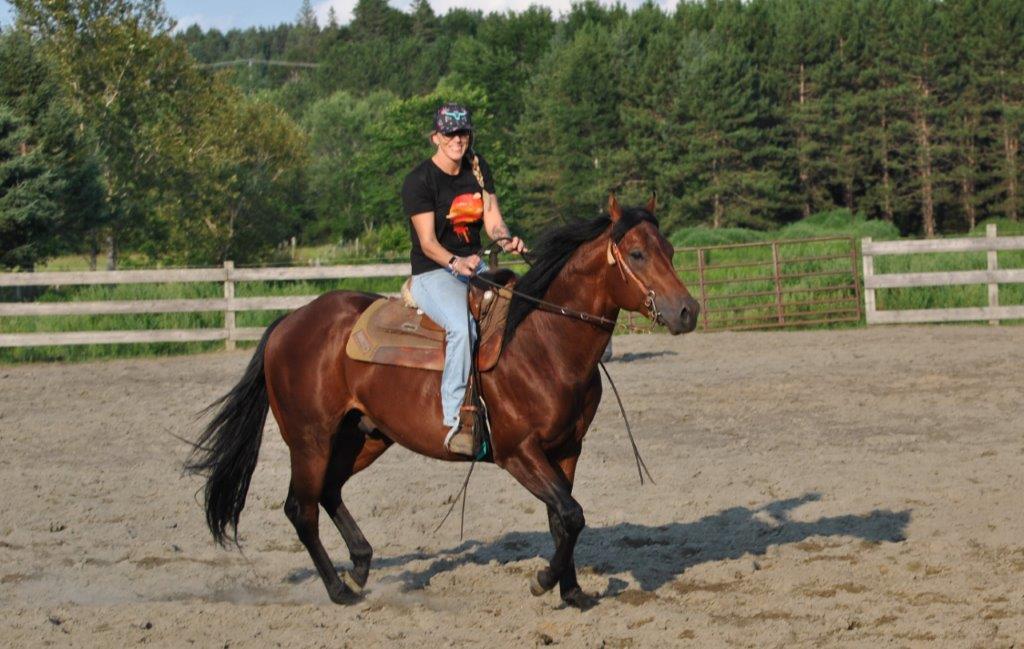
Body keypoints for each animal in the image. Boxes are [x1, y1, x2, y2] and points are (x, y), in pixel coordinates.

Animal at [186, 194, 696, 606]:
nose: (688, 311)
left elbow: (564, 519)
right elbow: (570, 514)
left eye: (669, 251)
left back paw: (360, 566)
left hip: (363, 436)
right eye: (636, 253)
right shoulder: (518, 453)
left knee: (329, 492)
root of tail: (288, 323)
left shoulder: (567, 450)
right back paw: (337, 589)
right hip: (310, 438)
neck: (541, 341)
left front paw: (571, 591)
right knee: (301, 508)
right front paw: (544, 581)